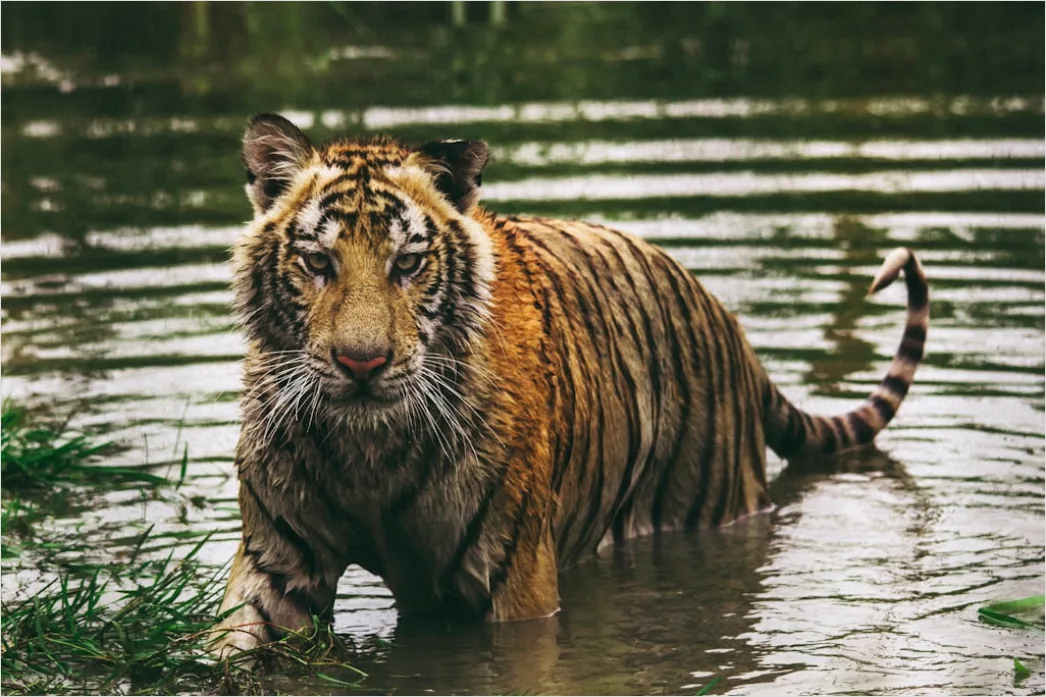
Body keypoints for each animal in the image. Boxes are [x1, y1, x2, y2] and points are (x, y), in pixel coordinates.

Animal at [211, 113, 929, 657]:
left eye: (408, 263)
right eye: (318, 261)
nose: (362, 363)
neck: (368, 452)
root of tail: (731, 324)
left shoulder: (514, 578)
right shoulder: (277, 563)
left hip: (710, 506)